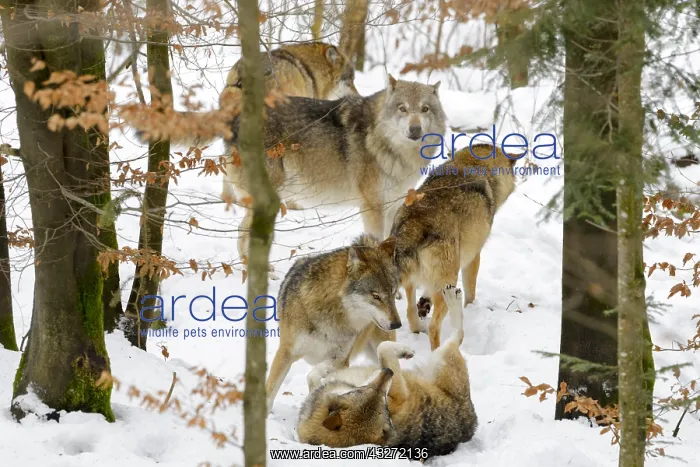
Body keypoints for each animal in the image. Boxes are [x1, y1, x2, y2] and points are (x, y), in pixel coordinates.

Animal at [226, 75, 447, 260]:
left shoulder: (393, 206)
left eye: (425, 109)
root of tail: (235, 121)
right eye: (402, 108)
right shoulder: (372, 207)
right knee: (242, 233)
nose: (415, 129)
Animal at [266, 234, 401, 414]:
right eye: (376, 296)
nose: (396, 324)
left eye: (393, 293)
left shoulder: (341, 359)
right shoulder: (285, 353)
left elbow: (314, 375)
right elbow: (270, 392)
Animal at [298, 285, 477, 459]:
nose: (388, 371)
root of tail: (472, 419)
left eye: (358, 390)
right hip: (441, 358)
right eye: (384, 403)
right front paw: (405, 351)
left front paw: (327, 366)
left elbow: (313, 375)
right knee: (458, 335)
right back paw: (453, 298)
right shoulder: (399, 393)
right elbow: (382, 347)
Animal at [391, 144, 518, 350]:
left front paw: (424, 302)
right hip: (449, 282)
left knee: (410, 313)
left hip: (412, 281)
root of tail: (414, 224)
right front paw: (471, 308)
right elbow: (471, 291)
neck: (476, 165)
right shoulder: (473, 256)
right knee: (434, 327)